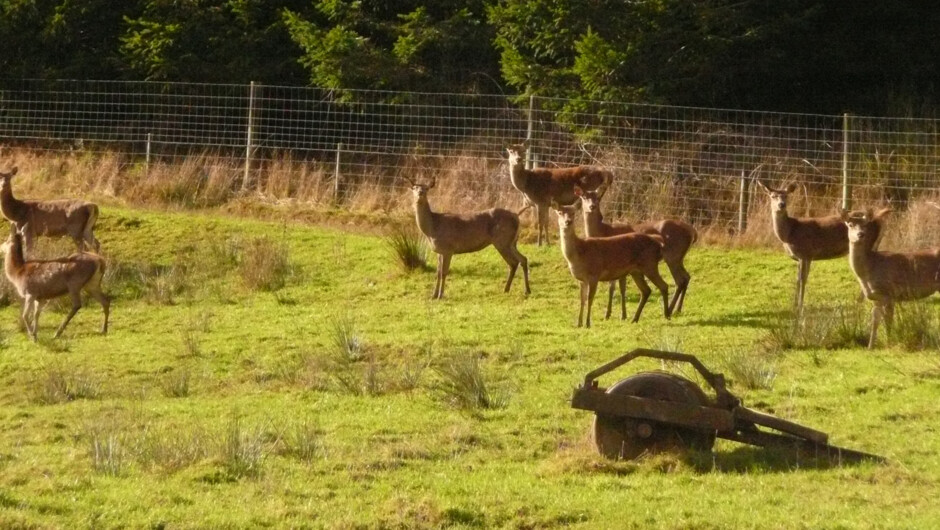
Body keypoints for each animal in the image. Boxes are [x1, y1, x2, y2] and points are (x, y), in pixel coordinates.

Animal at [572, 184, 696, 316]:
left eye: (597, 197)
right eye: (584, 197)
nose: (592, 206)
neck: (604, 231)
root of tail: (692, 231)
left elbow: (618, 287)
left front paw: (617, 314)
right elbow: (615, 286)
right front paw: (611, 313)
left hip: (672, 256)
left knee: (680, 280)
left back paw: (670, 309)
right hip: (679, 257)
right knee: (686, 277)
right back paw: (677, 309)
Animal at [752, 180, 884, 312]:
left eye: (786, 196)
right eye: (773, 196)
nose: (781, 205)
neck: (789, 233)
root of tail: (878, 222)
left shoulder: (806, 253)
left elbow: (803, 280)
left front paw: (800, 306)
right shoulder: (799, 257)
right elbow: (797, 280)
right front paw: (793, 305)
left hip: (866, 244)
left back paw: (861, 301)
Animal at [840, 208, 936, 348]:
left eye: (865, 225)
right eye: (850, 224)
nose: (861, 234)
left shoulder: (890, 293)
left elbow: (888, 321)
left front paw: (889, 342)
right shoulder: (876, 297)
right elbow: (875, 320)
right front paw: (870, 346)